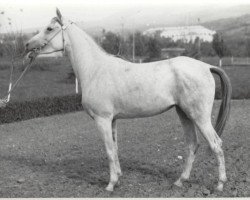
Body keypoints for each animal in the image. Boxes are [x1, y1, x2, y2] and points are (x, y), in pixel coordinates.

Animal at [25, 9, 232, 192]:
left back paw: (220, 185)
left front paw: (110, 185)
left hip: (199, 117)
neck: (95, 69)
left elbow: (109, 150)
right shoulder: (112, 120)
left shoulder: (102, 120)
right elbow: (115, 148)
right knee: (192, 145)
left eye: (49, 28)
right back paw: (180, 181)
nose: (27, 45)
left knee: (216, 145)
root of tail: (206, 66)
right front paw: (118, 179)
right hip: (184, 114)